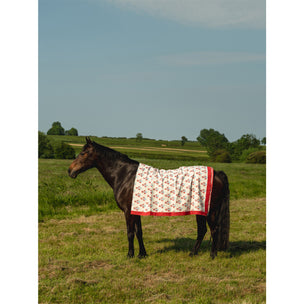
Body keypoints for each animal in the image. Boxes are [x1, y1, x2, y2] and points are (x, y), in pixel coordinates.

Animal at [68, 138, 230, 258]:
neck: (124, 175)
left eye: (83, 153)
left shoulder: (128, 211)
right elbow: (139, 232)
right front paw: (142, 254)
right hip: (200, 211)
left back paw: (212, 255)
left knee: (213, 229)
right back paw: (193, 253)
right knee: (202, 230)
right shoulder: (136, 210)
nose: (70, 171)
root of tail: (216, 173)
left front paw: (130, 255)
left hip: (210, 211)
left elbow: (130, 233)